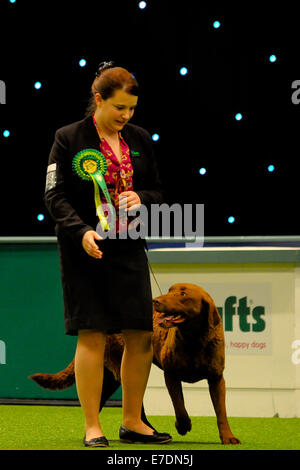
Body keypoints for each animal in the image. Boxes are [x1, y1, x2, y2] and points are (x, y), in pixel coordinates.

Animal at [30, 282, 240, 444]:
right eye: (170, 290)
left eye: (183, 294)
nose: (156, 301)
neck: (194, 338)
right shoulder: (171, 375)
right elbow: (179, 404)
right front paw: (183, 425)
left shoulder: (217, 378)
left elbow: (221, 411)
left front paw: (228, 437)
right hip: (120, 367)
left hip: (110, 377)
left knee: (100, 400)